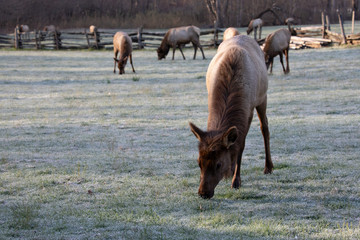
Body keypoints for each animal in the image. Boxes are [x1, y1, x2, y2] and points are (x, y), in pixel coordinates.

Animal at [188, 34, 272, 199]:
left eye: (218, 164)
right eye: (199, 162)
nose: (203, 193)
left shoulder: (249, 109)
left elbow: (241, 145)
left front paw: (236, 181)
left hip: (263, 97)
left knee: (264, 127)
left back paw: (268, 167)